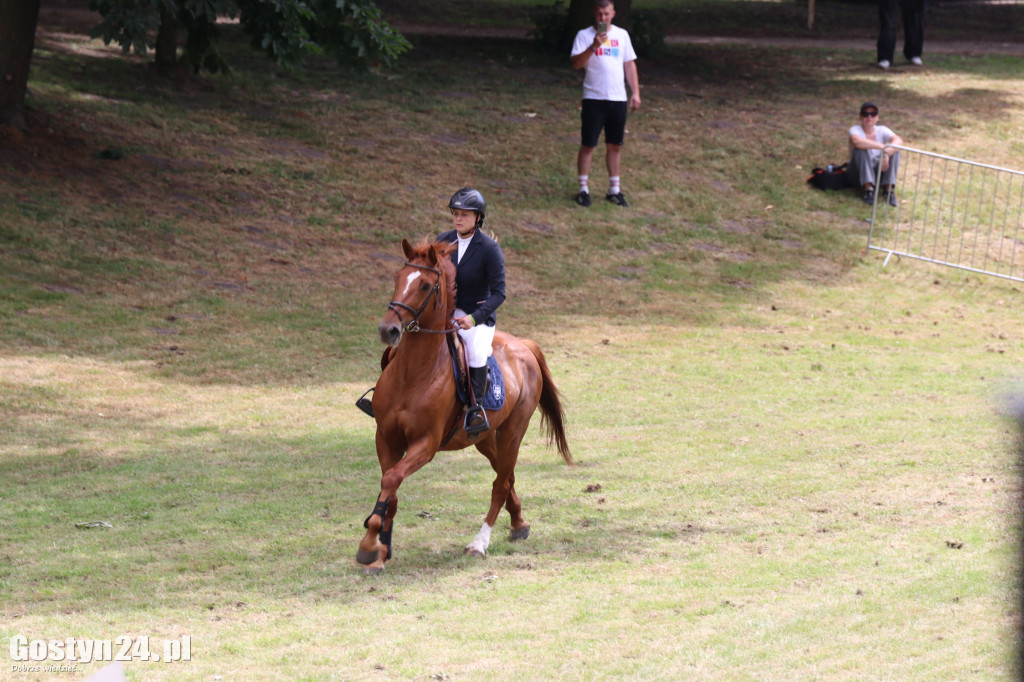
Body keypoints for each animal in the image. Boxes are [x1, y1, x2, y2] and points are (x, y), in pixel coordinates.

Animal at [356, 238, 572, 574]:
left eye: (425, 285)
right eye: (397, 278)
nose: (388, 330)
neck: (413, 373)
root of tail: (524, 345)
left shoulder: (426, 444)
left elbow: (391, 479)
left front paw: (368, 546)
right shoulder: (386, 438)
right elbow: (389, 490)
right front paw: (381, 550)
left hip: (514, 430)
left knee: (500, 483)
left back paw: (479, 544)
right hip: (484, 438)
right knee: (506, 476)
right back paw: (519, 523)